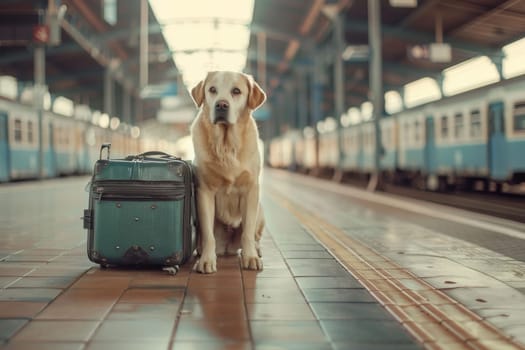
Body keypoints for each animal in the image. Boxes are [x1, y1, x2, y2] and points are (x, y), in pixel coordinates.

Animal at [189, 71, 266, 274]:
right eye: (212, 90)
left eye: (236, 91)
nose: (221, 105)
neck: (226, 146)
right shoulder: (204, 192)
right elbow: (209, 235)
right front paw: (206, 261)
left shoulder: (251, 190)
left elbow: (247, 232)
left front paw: (250, 258)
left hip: (260, 210)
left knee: (254, 235)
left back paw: (256, 249)